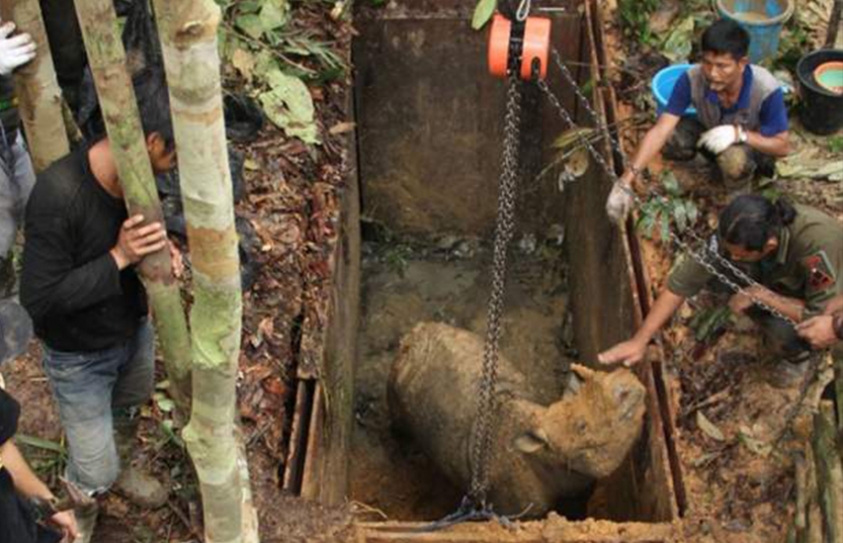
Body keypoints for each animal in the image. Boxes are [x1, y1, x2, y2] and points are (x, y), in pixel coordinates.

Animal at [387, 322, 647, 517]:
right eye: (582, 426)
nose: (628, 382)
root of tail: (412, 333)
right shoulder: (518, 509)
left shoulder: (579, 486)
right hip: (399, 374)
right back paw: (408, 455)